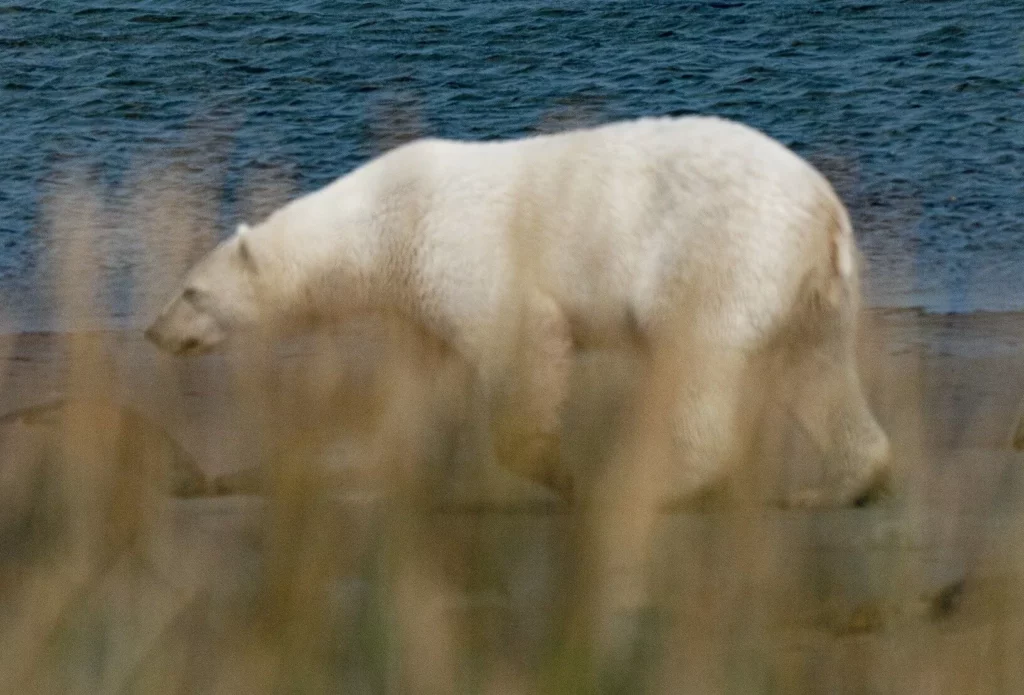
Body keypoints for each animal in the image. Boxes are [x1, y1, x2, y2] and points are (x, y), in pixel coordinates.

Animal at [145, 115, 890, 507]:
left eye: (190, 291)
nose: (152, 330)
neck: (385, 221)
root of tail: (826, 210)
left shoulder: (462, 255)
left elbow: (526, 344)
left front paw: (555, 468)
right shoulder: (419, 302)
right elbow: (415, 393)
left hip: (719, 251)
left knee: (697, 359)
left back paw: (650, 483)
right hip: (807, 286)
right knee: (816, 368)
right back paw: (845, 482)